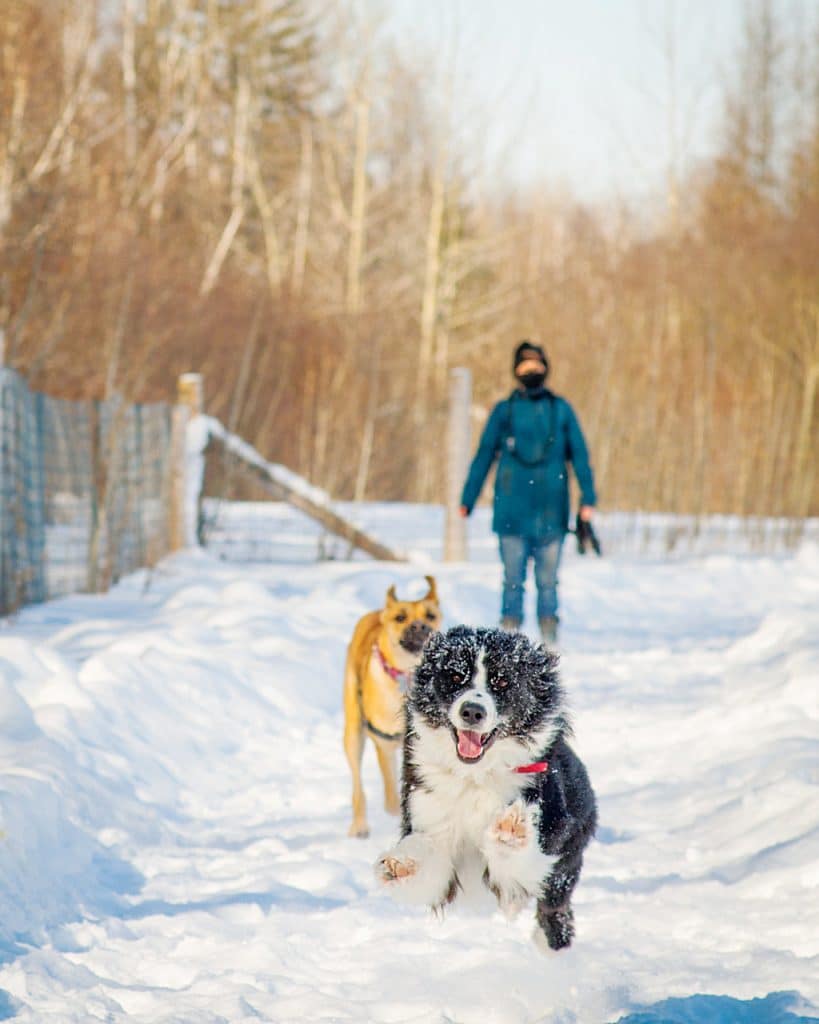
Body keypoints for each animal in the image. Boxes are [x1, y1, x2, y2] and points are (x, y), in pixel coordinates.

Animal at [341, 577, 442, 839]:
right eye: (400, 618)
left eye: (430, 615)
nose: (420, 627)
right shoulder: (384, 742)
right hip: (354, 733)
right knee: (359, 787)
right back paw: (360, 825)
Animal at [376, 622, 593, 950]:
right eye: (455, 676)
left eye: (502, 681)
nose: (472, 711)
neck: (475, 776)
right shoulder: (430, 812)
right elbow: (429, 865)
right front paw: (403, 864)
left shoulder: (542, 849)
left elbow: (517, 864)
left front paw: (510, 829)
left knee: (554, 909)